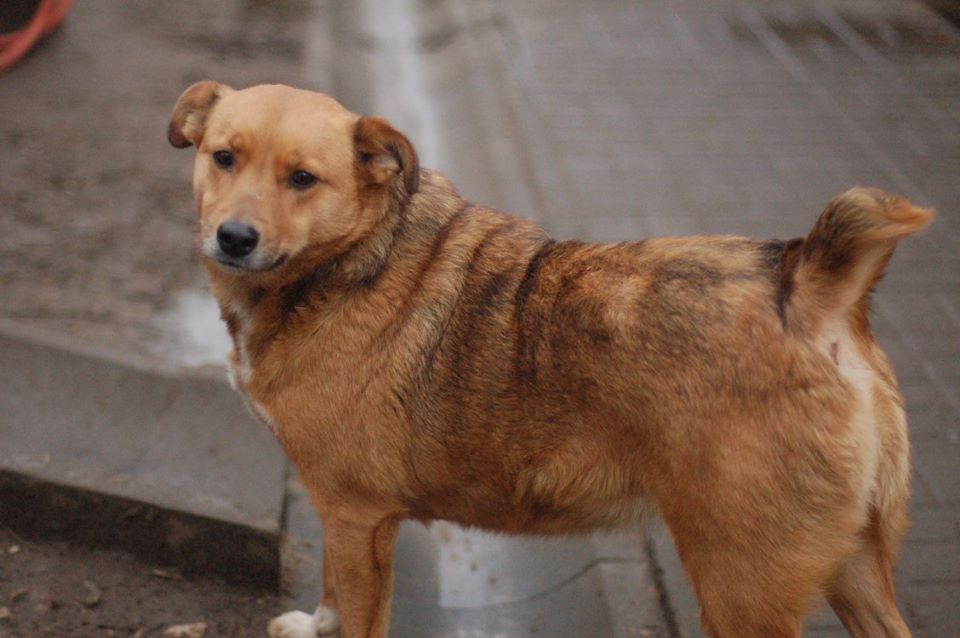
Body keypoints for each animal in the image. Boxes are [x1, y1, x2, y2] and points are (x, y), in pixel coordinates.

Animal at [168, 81, 931, 638]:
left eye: (303, 178)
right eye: (223, 157)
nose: (233, 237)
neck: (349, 260)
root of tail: (807, 285)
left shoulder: (358, 515)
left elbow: (354, 611)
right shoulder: (343, 518)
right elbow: (328, 590)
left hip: (742, 587)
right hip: (856, 569)